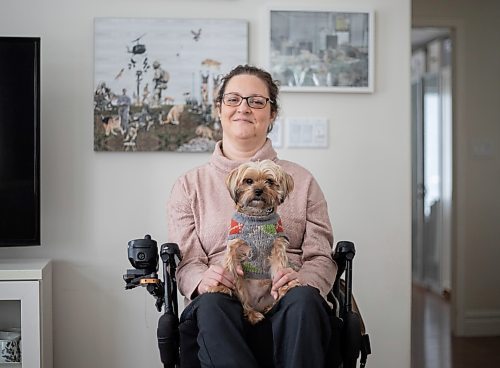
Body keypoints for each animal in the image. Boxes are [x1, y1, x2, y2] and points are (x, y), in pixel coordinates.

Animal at [208, 160, 298, 324]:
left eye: (269, 181)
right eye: (248, 181)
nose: (258, 190)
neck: (257, 217)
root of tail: (258, 305)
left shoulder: (277, 247)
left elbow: (280, 269)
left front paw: (286, 286)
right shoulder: (234, 247)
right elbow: (228, 268)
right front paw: (220, 287)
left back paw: (268, 308)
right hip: (241, 286)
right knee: (245, 303)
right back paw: (252, 314)